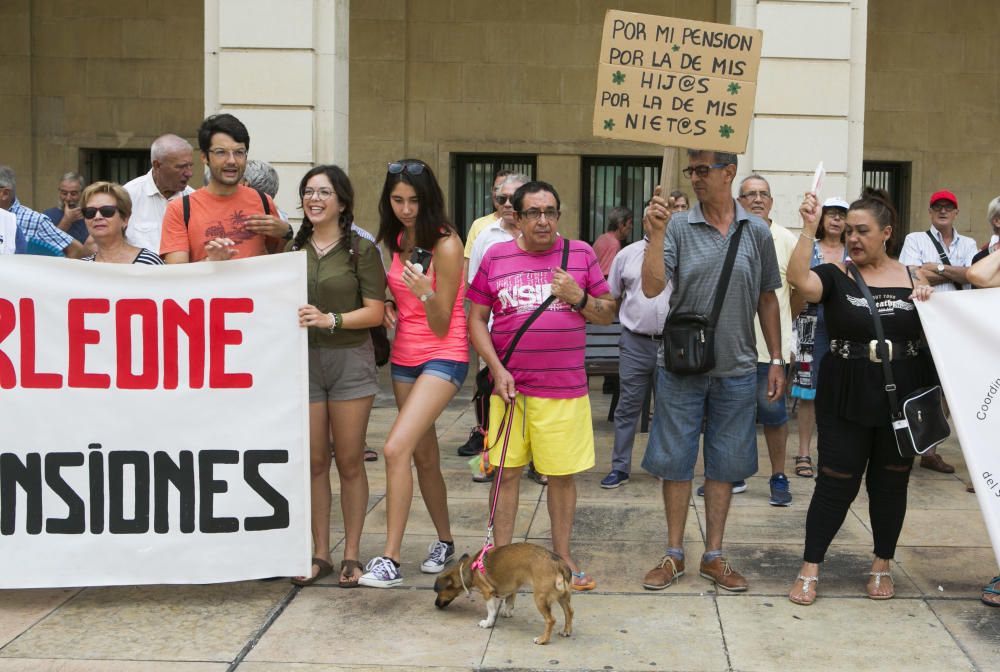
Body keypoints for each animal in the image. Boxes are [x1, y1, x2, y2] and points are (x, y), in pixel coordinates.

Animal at [434, 540, 576, 644]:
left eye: (438, 592)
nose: (435, 604)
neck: (470, 567)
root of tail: (559, 564)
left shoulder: (487, 592)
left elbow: (491, 611)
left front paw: (488, 623)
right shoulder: (512, 585)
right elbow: (510, 599)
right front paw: (507, 611)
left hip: (540, 598)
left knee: (551, 620)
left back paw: (542, 640)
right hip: (563, 596)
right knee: (569, 612)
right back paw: (566, 631)